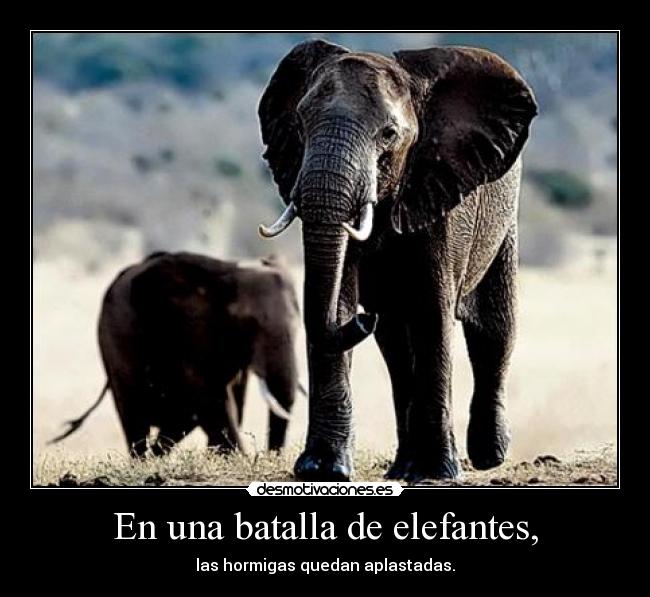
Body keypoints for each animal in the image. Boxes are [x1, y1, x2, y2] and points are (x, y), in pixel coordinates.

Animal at [50, 251, 302, 455]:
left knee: (176, 423)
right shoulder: (185, 331)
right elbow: (211, 398)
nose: (271, 456)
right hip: (114, 347)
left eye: (297, 323)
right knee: (135, 419)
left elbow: (227, 403)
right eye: (248, 324)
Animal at [257, 40, 537, 482]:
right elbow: (338, 299)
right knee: (396, 346)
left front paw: (439, 472)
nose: (363, 319)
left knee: (493, 331)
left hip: (504, 217)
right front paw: (323, 469)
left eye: (388, 135)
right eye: (300, 125)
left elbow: (432, 311)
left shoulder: (440, 192)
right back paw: (402, 468)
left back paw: (488, 456)